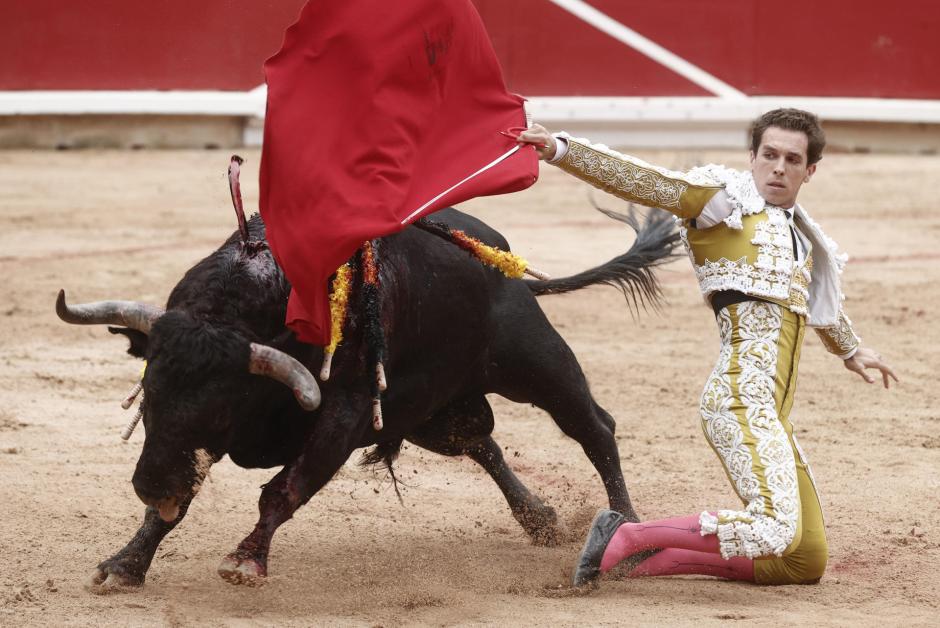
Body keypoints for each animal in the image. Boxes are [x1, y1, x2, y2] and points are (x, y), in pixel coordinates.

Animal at [58, 202, 676, 588]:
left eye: (222, 408)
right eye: (148, 394)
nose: (147, 483)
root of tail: (504, 260)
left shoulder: (345, 413)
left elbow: (283, 491)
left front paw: (245, 560)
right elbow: (177, 504)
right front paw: (124, 564)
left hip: (535, 363)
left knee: (594, 427)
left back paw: (628, 533)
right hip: (431, 412)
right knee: (481, 443)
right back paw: (540, 519)